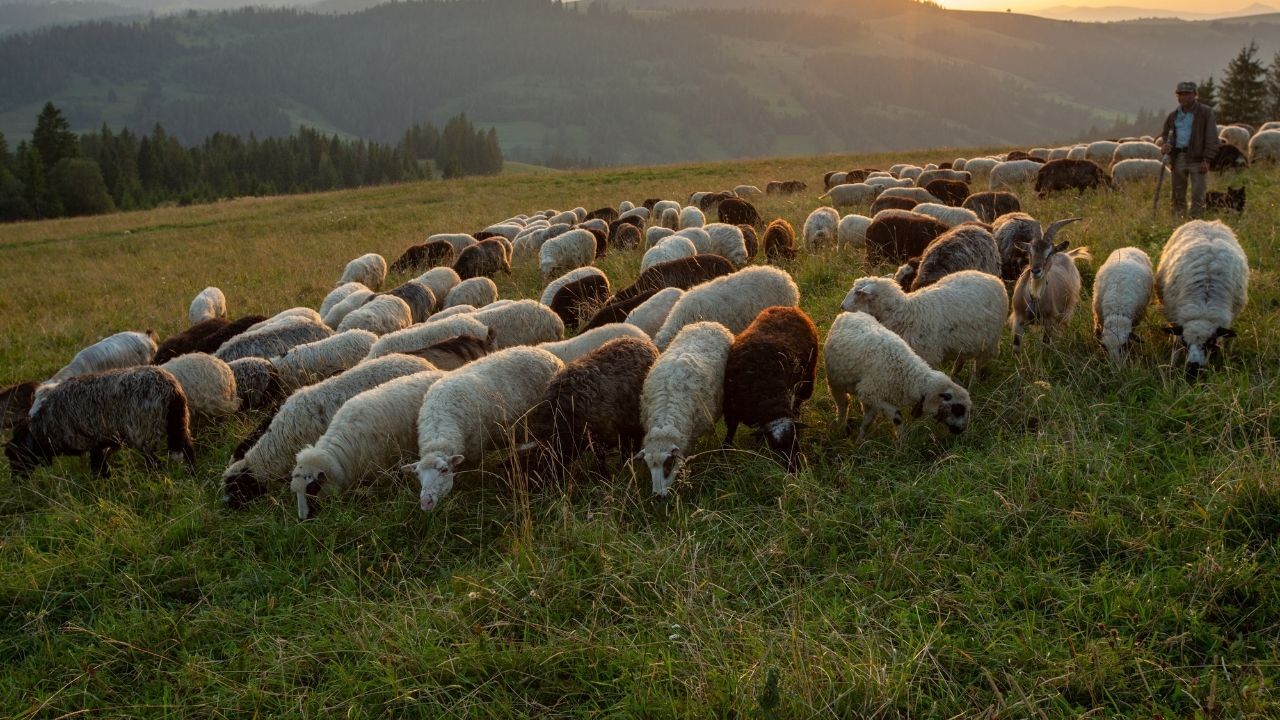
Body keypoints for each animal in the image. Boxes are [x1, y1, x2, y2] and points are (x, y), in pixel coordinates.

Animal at [7, 366, 194, 478]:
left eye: (14, 457)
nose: (16, 481)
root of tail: (172, 390)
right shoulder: (103, 442)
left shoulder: (92, 441)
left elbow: (97, 467)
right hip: (180, 426)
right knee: (188, 452)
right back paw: (191, 474)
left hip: (144, 432)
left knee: (155, 464)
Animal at [721, 307, 818, 470]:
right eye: (775, 446)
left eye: (796, 438)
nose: (795, 468)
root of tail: (788, 308)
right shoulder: (731, 409)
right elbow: (731, 430)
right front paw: (725, 450)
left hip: (807, 378)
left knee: (799, 400)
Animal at [824, 311, 971, 441]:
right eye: (958, 409)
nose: (962, 430)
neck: (907, 375)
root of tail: (847, 314)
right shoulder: (871, 393)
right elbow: (897, 417)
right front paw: (903, 442)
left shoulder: (870, 397)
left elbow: (868, 421)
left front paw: (860, 441)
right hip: (835, 383)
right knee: (843, 404)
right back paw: (840, 427)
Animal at [841, 271, 1006, 378]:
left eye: (858, 293)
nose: (842, 306)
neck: (907, 312)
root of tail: (992, 277)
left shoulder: (928, 355)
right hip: (967, 340)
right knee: (962, 357)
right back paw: (955, 373)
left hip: (989, 341)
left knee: (979, 363)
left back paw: (974, 380)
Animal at [1154, 220, 1249, 377]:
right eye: (1185, 343)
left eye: (1209, 343)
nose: (1193, 369)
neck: (1203, 308)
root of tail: (1209, 222)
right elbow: (1176, 345)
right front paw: (1172, 365)